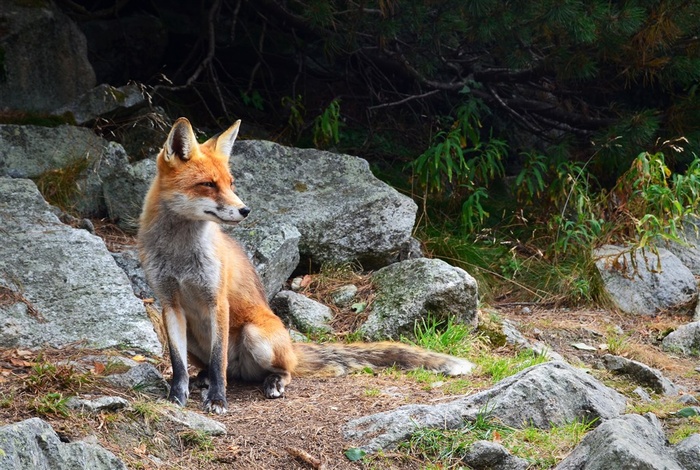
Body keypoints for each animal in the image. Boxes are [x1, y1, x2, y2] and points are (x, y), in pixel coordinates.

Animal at [137, 118, 476, 414]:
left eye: (231, 184)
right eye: (208, 184)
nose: (246, 210)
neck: (180, 256)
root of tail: (289, 346)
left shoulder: (217, 301)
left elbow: (218, 359)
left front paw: (218, 401)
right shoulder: (169, 304)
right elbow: (178, 364)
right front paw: (176, 397)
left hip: (255, 335)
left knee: (272, 370)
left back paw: (272, 382)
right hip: (195, 339)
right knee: (217, 368)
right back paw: (204, 378)